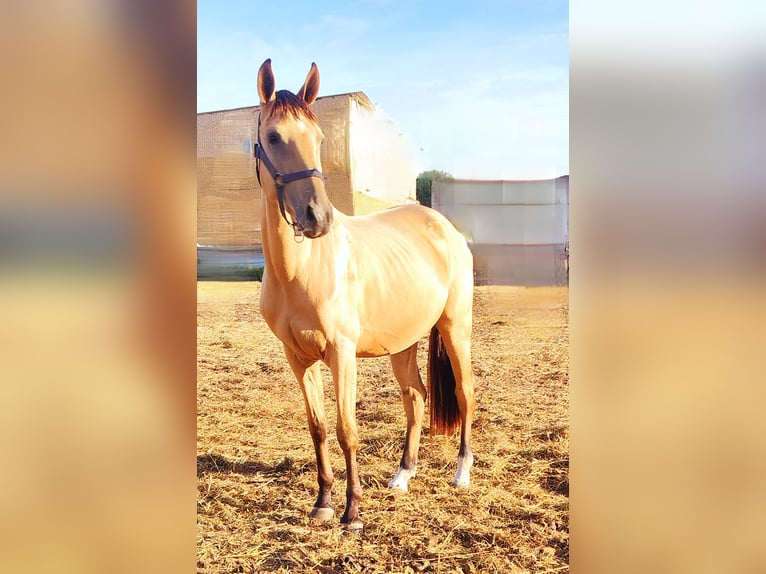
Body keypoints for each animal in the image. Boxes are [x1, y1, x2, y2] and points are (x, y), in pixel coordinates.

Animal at [255, 57, 476, 532]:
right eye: (273, 137)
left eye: (320, 138)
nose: (317, 218)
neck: (301, 270)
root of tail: (445, 228)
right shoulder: (297, 358)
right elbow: (318, 427)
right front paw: (322, 504)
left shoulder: (342, 353)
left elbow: (346, 430)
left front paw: (352, 512)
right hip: (403, 343)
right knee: (416, 397)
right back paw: (403, 475)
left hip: (456, 328)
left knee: (466, 391)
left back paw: (462, 473)